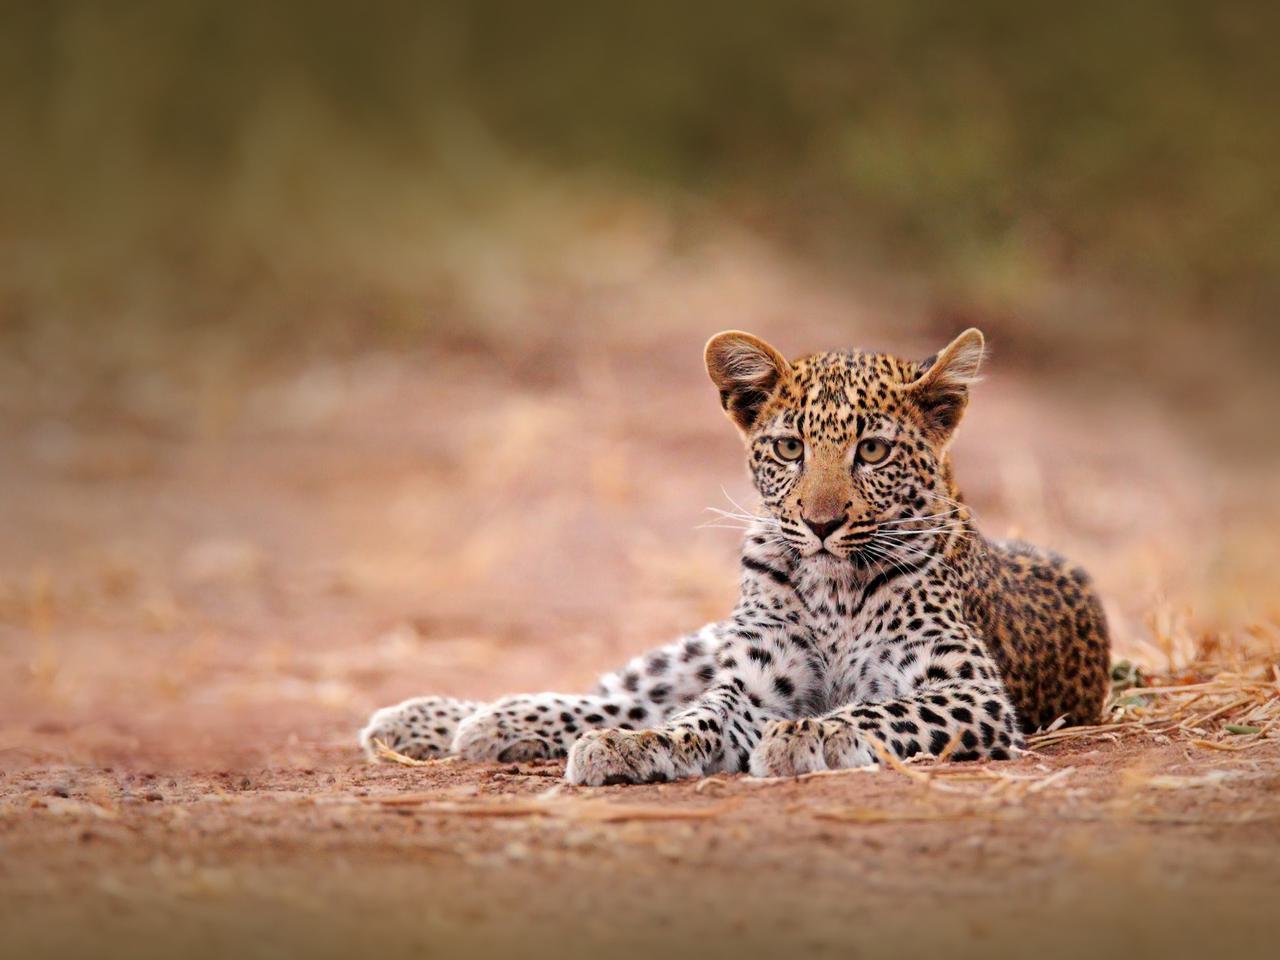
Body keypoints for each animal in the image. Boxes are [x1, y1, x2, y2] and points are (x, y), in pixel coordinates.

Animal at [360, 328, 1110, 785]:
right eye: (789, 448)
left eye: (872, 451)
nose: (821, 523)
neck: (834, 589)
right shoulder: (752, 682)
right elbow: (698, 717)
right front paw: (638, 748)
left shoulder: (970, 691)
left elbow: (875, 712)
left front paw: (806, 737)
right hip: (697, 647)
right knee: (620, 695)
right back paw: (449, 719)